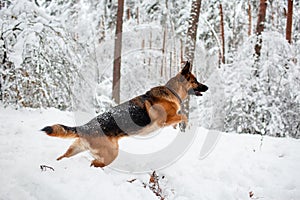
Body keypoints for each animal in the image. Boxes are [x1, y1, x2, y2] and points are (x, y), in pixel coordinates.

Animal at [40, 61, 209, 167]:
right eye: (196, 81)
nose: (207, 87)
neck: (172, 91)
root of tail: (85, 127)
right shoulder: (166, 120)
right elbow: (184, 116)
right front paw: (188, 126)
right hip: (112, 154)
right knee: (95, 163)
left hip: (75, 149)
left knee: (63, 157)